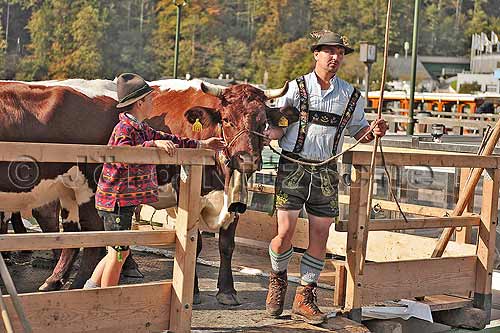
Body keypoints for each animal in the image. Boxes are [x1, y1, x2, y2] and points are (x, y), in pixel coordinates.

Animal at [0, 78, 288, 304]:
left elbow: (226, 245)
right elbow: (194, 243)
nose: (247, 160)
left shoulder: (236, 199)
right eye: (227, 120)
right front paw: (193, 291)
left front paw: (227, 292)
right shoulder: (185, 195)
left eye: (263, 123)